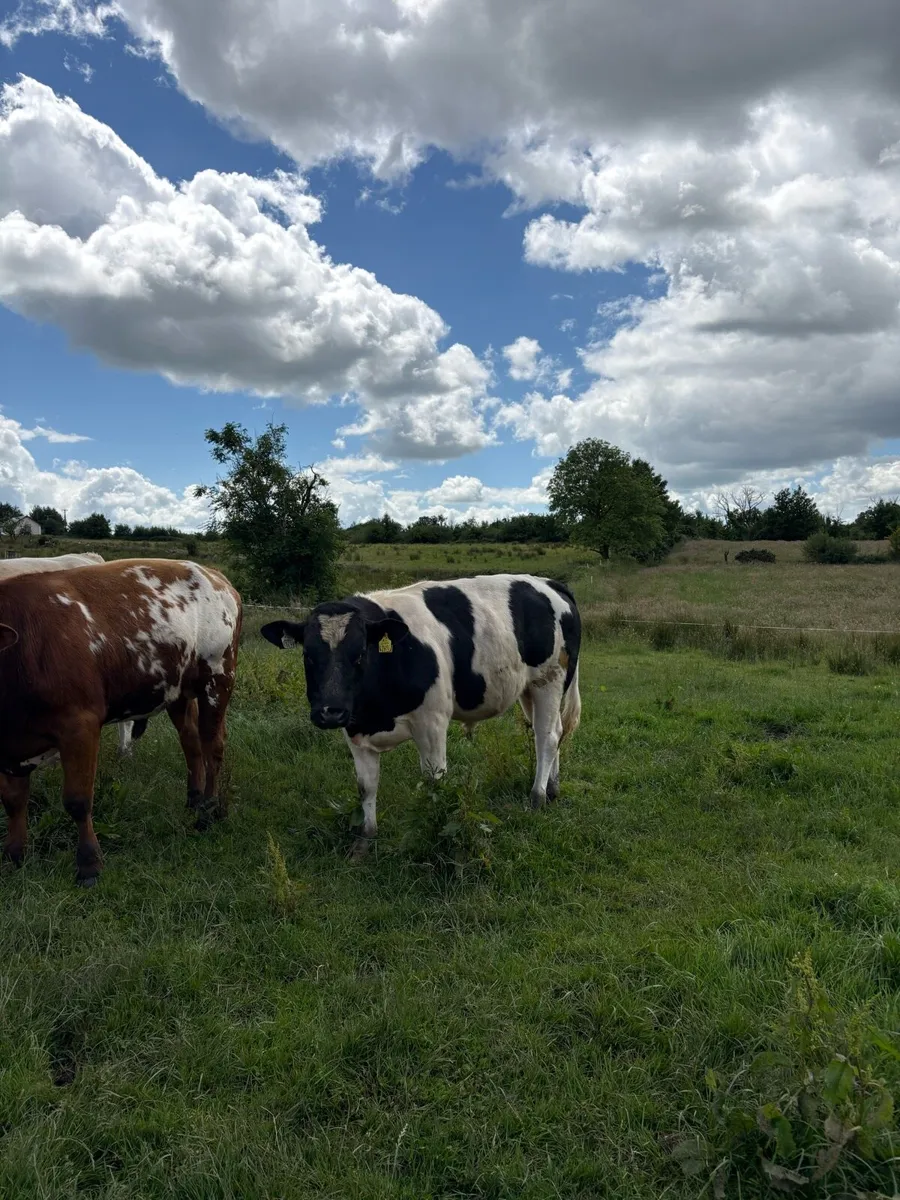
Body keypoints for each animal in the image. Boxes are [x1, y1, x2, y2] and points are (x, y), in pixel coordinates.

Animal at [0, 559, 242, 885]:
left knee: (212, 745)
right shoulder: (10, 745)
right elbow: (13, 801)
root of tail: (213, 574)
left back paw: (208, 811)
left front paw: (89, 864)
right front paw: (14, 855)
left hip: (217, 679)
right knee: (191, 742)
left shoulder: (80, 725)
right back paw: (193, 800)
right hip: (178, 688)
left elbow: (77, 800)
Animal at [260, 574, 581, 857]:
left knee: (547, 736)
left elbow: (434, 781)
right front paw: (364, 842)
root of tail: (548, 582)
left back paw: (537, 797)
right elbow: (366, 787)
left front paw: (436, 831)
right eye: (308, 655)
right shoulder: (354, 729)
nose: (330, 712)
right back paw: (552, 789)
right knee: (555, 731)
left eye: (360, 653)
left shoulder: (432, 722)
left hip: (550, 679)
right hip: (528, 689)